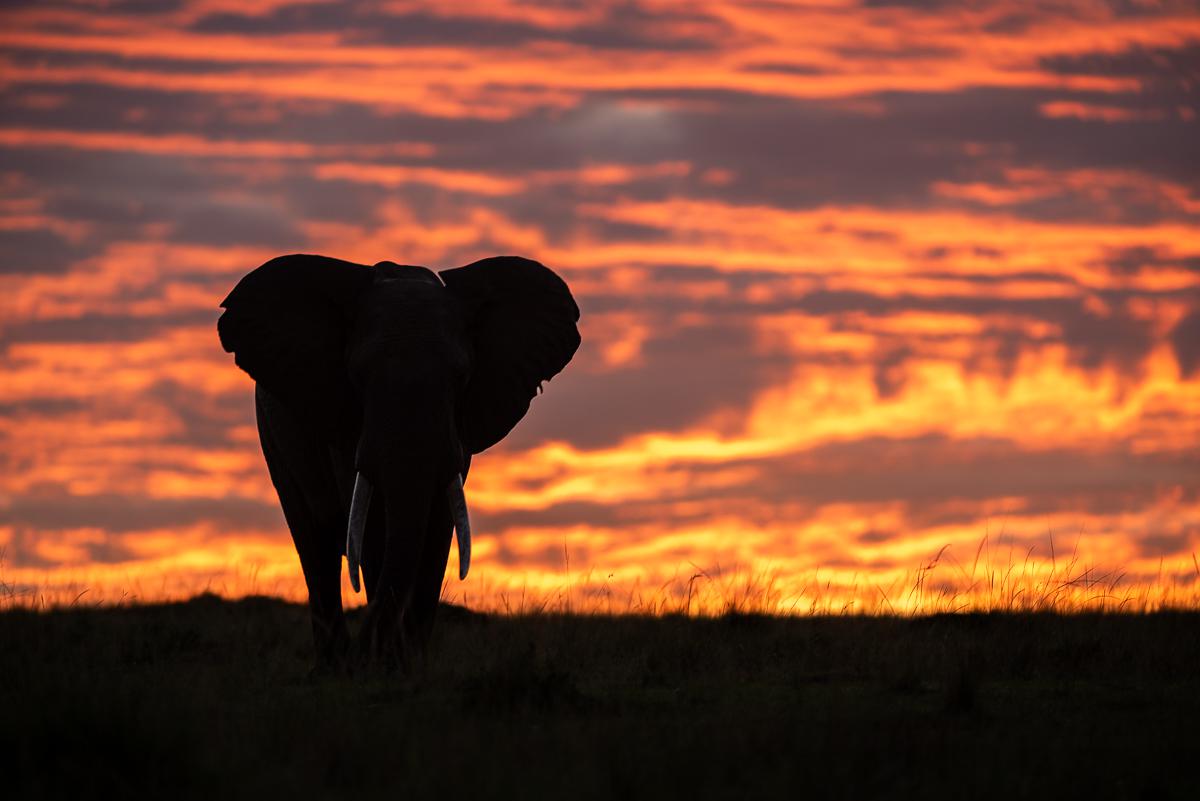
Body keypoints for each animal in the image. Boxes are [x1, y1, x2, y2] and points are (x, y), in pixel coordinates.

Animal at [222, 253, 585, 666]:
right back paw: (333, 666)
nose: (367, 655)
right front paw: (380, 665)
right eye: (357, 377)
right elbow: (374, 524)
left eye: (462, 377)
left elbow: (439, 523)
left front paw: (406, 666)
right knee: (314, 542)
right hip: (271, 433)